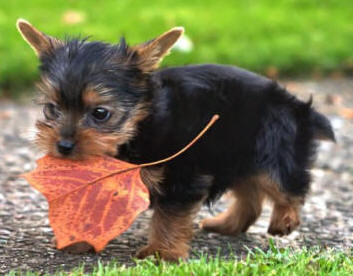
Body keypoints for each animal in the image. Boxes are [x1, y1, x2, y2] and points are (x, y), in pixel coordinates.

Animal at [17, 18, 336, 260]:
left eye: (100, 113)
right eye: (51, 109)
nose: (63, 146)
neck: (138, 128)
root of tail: (295, 104)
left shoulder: (182, 174)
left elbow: (170, 216)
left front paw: (161, 253)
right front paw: (79, 238)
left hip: (272, 146)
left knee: (286, 182)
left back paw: (284, 219)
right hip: (233, 152)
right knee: (251, 195)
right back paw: (227, 224)